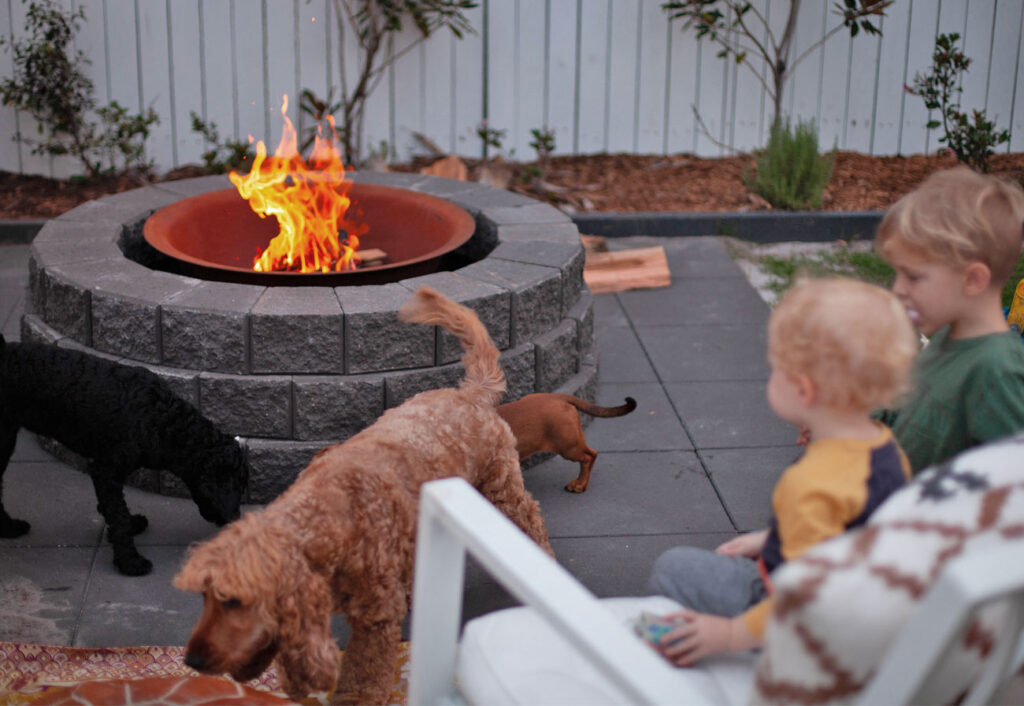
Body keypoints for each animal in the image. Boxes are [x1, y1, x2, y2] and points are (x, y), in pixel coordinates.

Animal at [0, 334, 247, 573]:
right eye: (237, 486)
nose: (234, 520)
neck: (164, 421)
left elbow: (115, 508)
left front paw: (130, 523)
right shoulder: (105, 471)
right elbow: (117, 515)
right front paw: (130, 561)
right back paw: (9, 527)